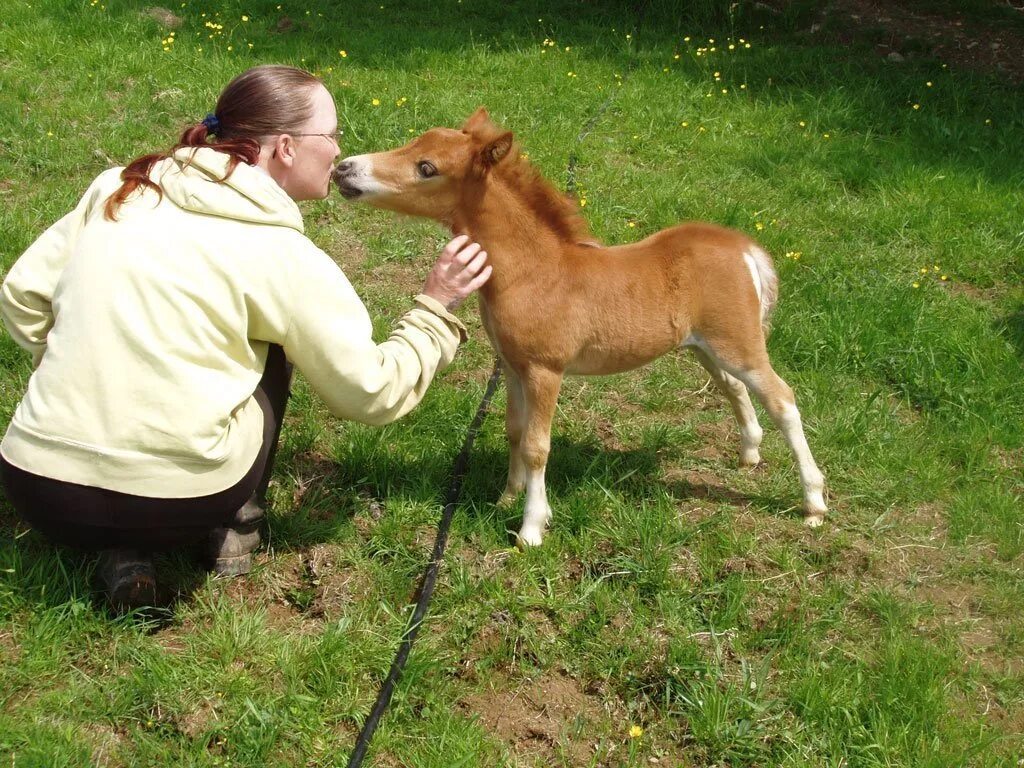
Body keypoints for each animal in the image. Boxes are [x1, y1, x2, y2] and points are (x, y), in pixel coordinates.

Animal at [331, 111, 827, 548]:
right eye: (415, 142)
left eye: (427, 168)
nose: (344, 168)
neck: (532, 272)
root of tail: (743, 247)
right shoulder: (512, 366)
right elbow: (514, 430)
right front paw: (506, 497)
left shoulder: (545, 370)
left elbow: (537, 446)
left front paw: (531, 528)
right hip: (705, 346)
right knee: (734, 388)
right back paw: (749, 454)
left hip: (739, 343)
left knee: (781, 398)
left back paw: (814, 503)